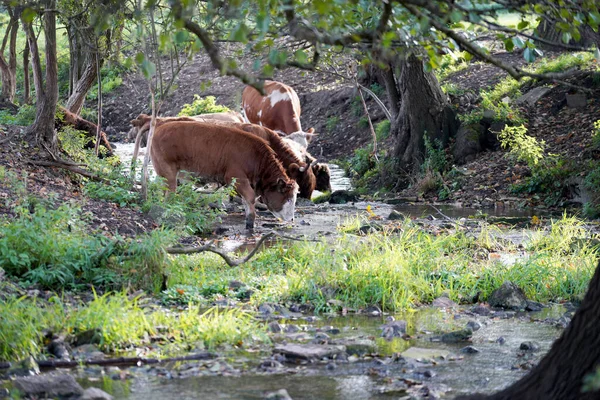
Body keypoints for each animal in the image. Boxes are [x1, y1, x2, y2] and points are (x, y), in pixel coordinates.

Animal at [151, 121, 298, 228]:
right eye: (288, 199)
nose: (291, 219)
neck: (256, 158)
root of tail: (160, 129)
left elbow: (247, 200)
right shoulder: (236, 177)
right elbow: (250, 197)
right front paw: (250, 222)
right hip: (168, 173)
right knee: (169, 194)